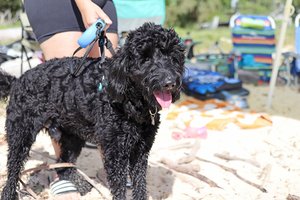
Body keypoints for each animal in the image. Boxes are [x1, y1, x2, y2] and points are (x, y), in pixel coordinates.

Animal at [0, 22, 184, 199]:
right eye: (145, 59)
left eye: (172, 57)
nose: (170, 83)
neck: (131, 102)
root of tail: (17, 80)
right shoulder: (115, 152)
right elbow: (120, 189)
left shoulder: (141, 150)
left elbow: (140, 185)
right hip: (20, 134)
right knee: (13, 169)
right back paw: (9, 193)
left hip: (72, 136)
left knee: (63, 164)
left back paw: (79, 184)